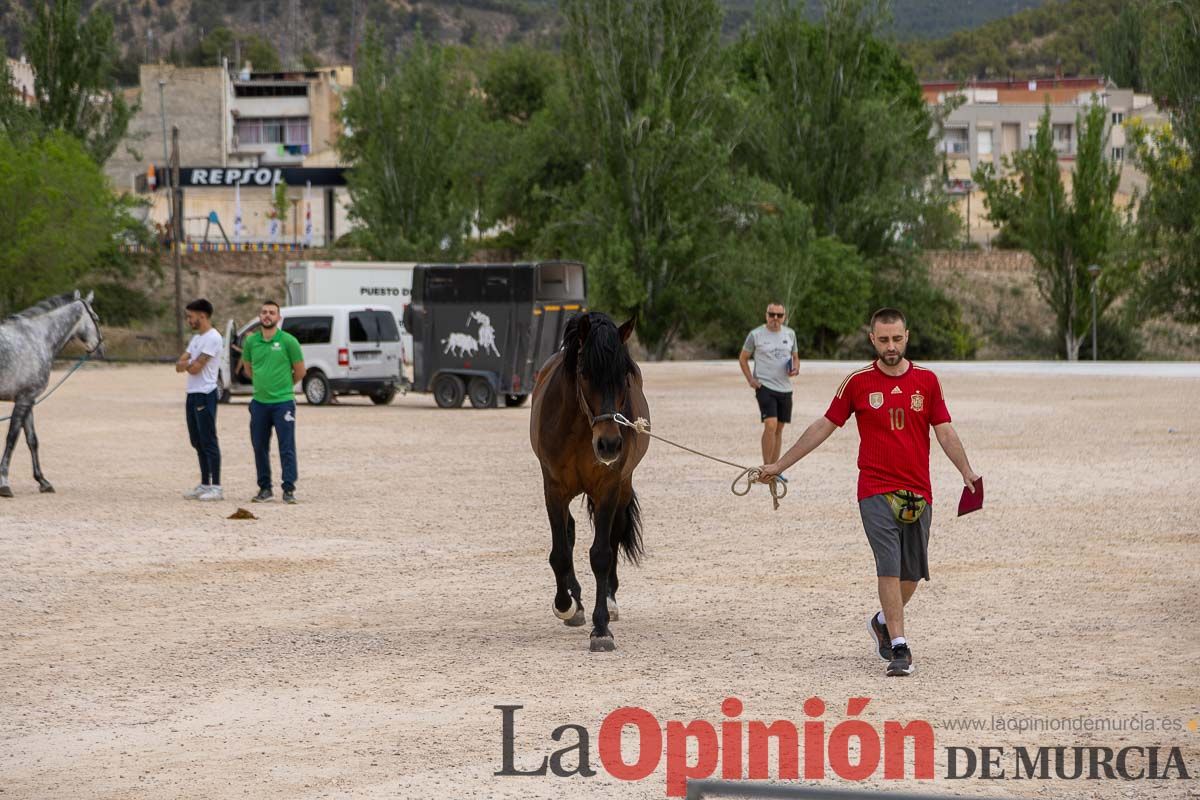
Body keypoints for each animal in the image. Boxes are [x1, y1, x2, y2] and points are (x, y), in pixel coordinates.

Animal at [0, 291, 103, 496]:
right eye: (95, 318)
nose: (100, 348)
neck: (36, 338)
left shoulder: (28, 400)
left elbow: (32, 440)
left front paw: (43, 481)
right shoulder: (23, 400)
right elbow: (11, 439)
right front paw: (4, 484)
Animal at [530, 311, 652, 652]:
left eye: (624, 374)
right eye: (584, 373)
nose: (609, 444)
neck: (579, 428)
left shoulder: (608, 487)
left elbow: (601, 554)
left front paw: (601, 628)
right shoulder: (554, 488)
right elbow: (560, 552)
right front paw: (566, 605)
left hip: (621, 488)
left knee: (613, 535)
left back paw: (609, 600)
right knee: (569, 532)